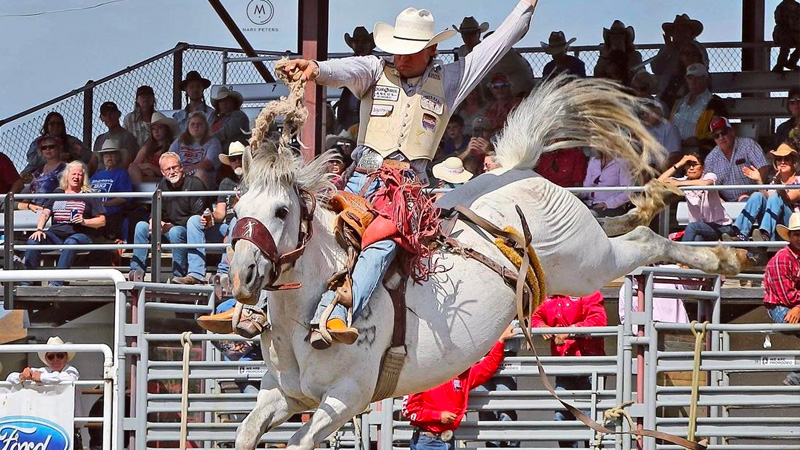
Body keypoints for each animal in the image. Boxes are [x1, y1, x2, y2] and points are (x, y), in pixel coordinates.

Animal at [228, 75, 748, 448]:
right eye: (235, 208)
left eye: (281, 210)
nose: (243, 275)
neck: (311, 309)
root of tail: (517, 170)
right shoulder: (282, 393)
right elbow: (246, 432)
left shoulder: (346, 396)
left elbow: (299, 441)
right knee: (624, 226)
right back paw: (660, 203)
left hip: (587, 263)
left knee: (641, 240)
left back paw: (724, 256)